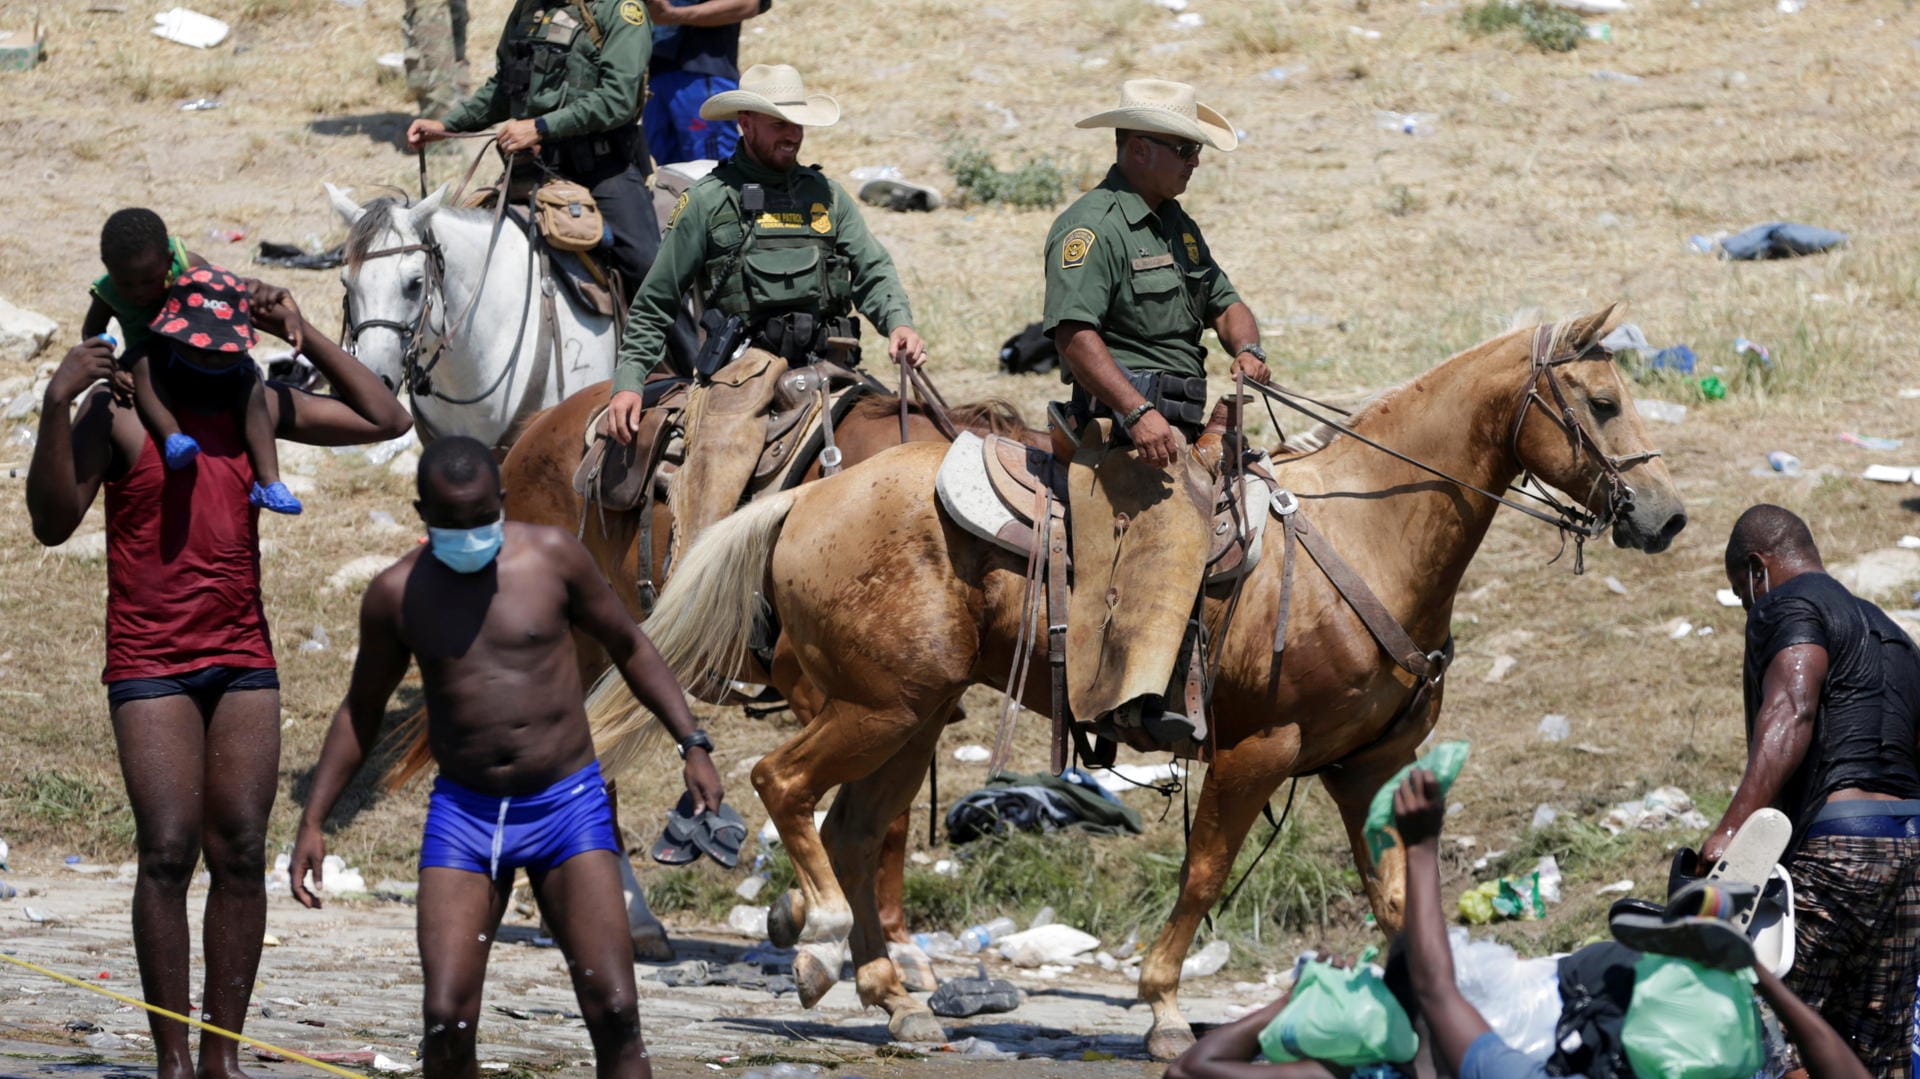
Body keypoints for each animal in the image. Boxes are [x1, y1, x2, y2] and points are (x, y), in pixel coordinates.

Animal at [591, 307, 1689, 1052]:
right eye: (1599, 401)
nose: (1668, 515)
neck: (1366, 531)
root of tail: (806, 496)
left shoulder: (1368, 765)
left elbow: (1391, 897)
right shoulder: (1259, 750)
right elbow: (1204, 872)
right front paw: (1162, 1007)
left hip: (911, 713)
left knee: (861, 831)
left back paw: (896, 1000)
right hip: (877, 706)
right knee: (784, 786)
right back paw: (813, 935)